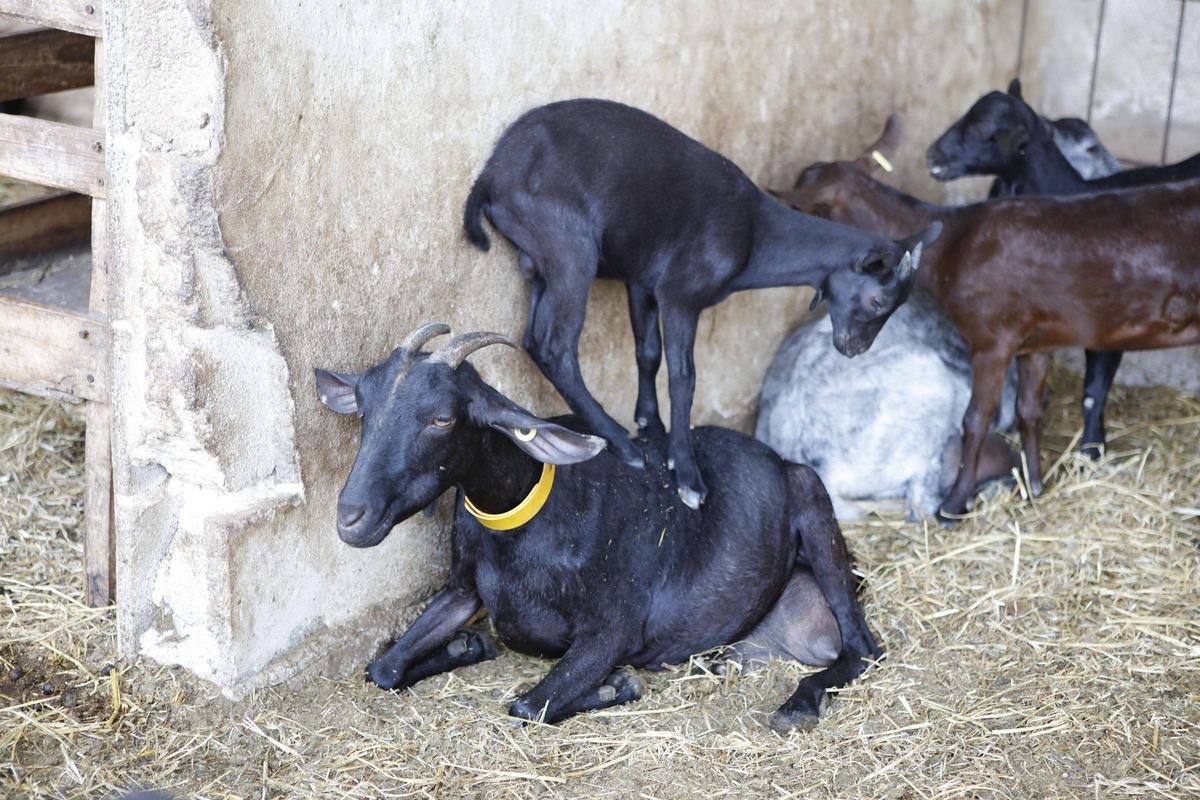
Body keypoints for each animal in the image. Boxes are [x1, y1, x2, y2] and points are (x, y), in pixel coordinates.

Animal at [316, 321, 883, 729]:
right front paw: (465, 645)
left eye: (442, 418)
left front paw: (617, 686)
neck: (522, 526)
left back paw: (798, 706)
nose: (352, 517)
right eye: (363, 406)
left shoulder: (613, 628)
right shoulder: (462, 588)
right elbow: (382, 668)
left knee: (864, 647)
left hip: (813, 498)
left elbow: (528, 706)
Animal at [463, 100, 940, 510]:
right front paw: (688, 473)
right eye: (877, 300)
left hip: (541, 262)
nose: (853, 349)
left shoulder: (643, 280)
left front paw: (651, 425)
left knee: (533, 338)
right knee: (555, 346)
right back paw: (618, 443)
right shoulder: (681, 294)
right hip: (569, 250)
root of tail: (490, 178)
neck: (755, 234)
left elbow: (648, 354)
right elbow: (684, 376)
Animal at [772, 117, 1200, 520]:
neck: (952, 242)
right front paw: (1035, 486)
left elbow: (974, 421)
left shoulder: (993, 337)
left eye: (798, 208)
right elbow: (1029, 411)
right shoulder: (1035, 341)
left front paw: (954, 504)